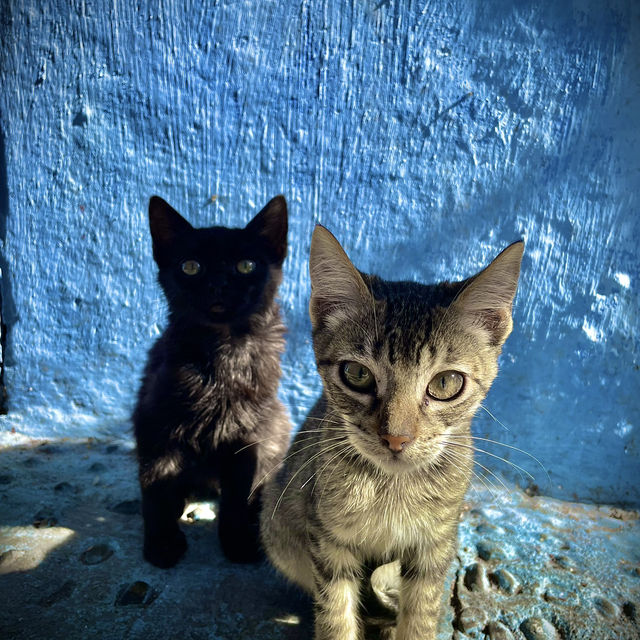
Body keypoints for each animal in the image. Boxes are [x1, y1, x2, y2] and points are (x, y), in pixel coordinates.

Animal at [134, 194, 292, 564]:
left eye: (246, 265)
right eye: (191, 266)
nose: (218, 283)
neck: (224, 351)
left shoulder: (248, 435)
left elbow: (237, 494)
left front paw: (237, 541)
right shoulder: (156, 423)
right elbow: (156, 486)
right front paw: (161, 543)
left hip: (277, 421)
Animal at [262, 225, 524, 640]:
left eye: (446, 382)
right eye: (356, 374)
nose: (396, 438)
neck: (390, 487)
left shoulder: (436, 541)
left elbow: (420, 613)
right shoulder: (327, 538)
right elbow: (334, 614)